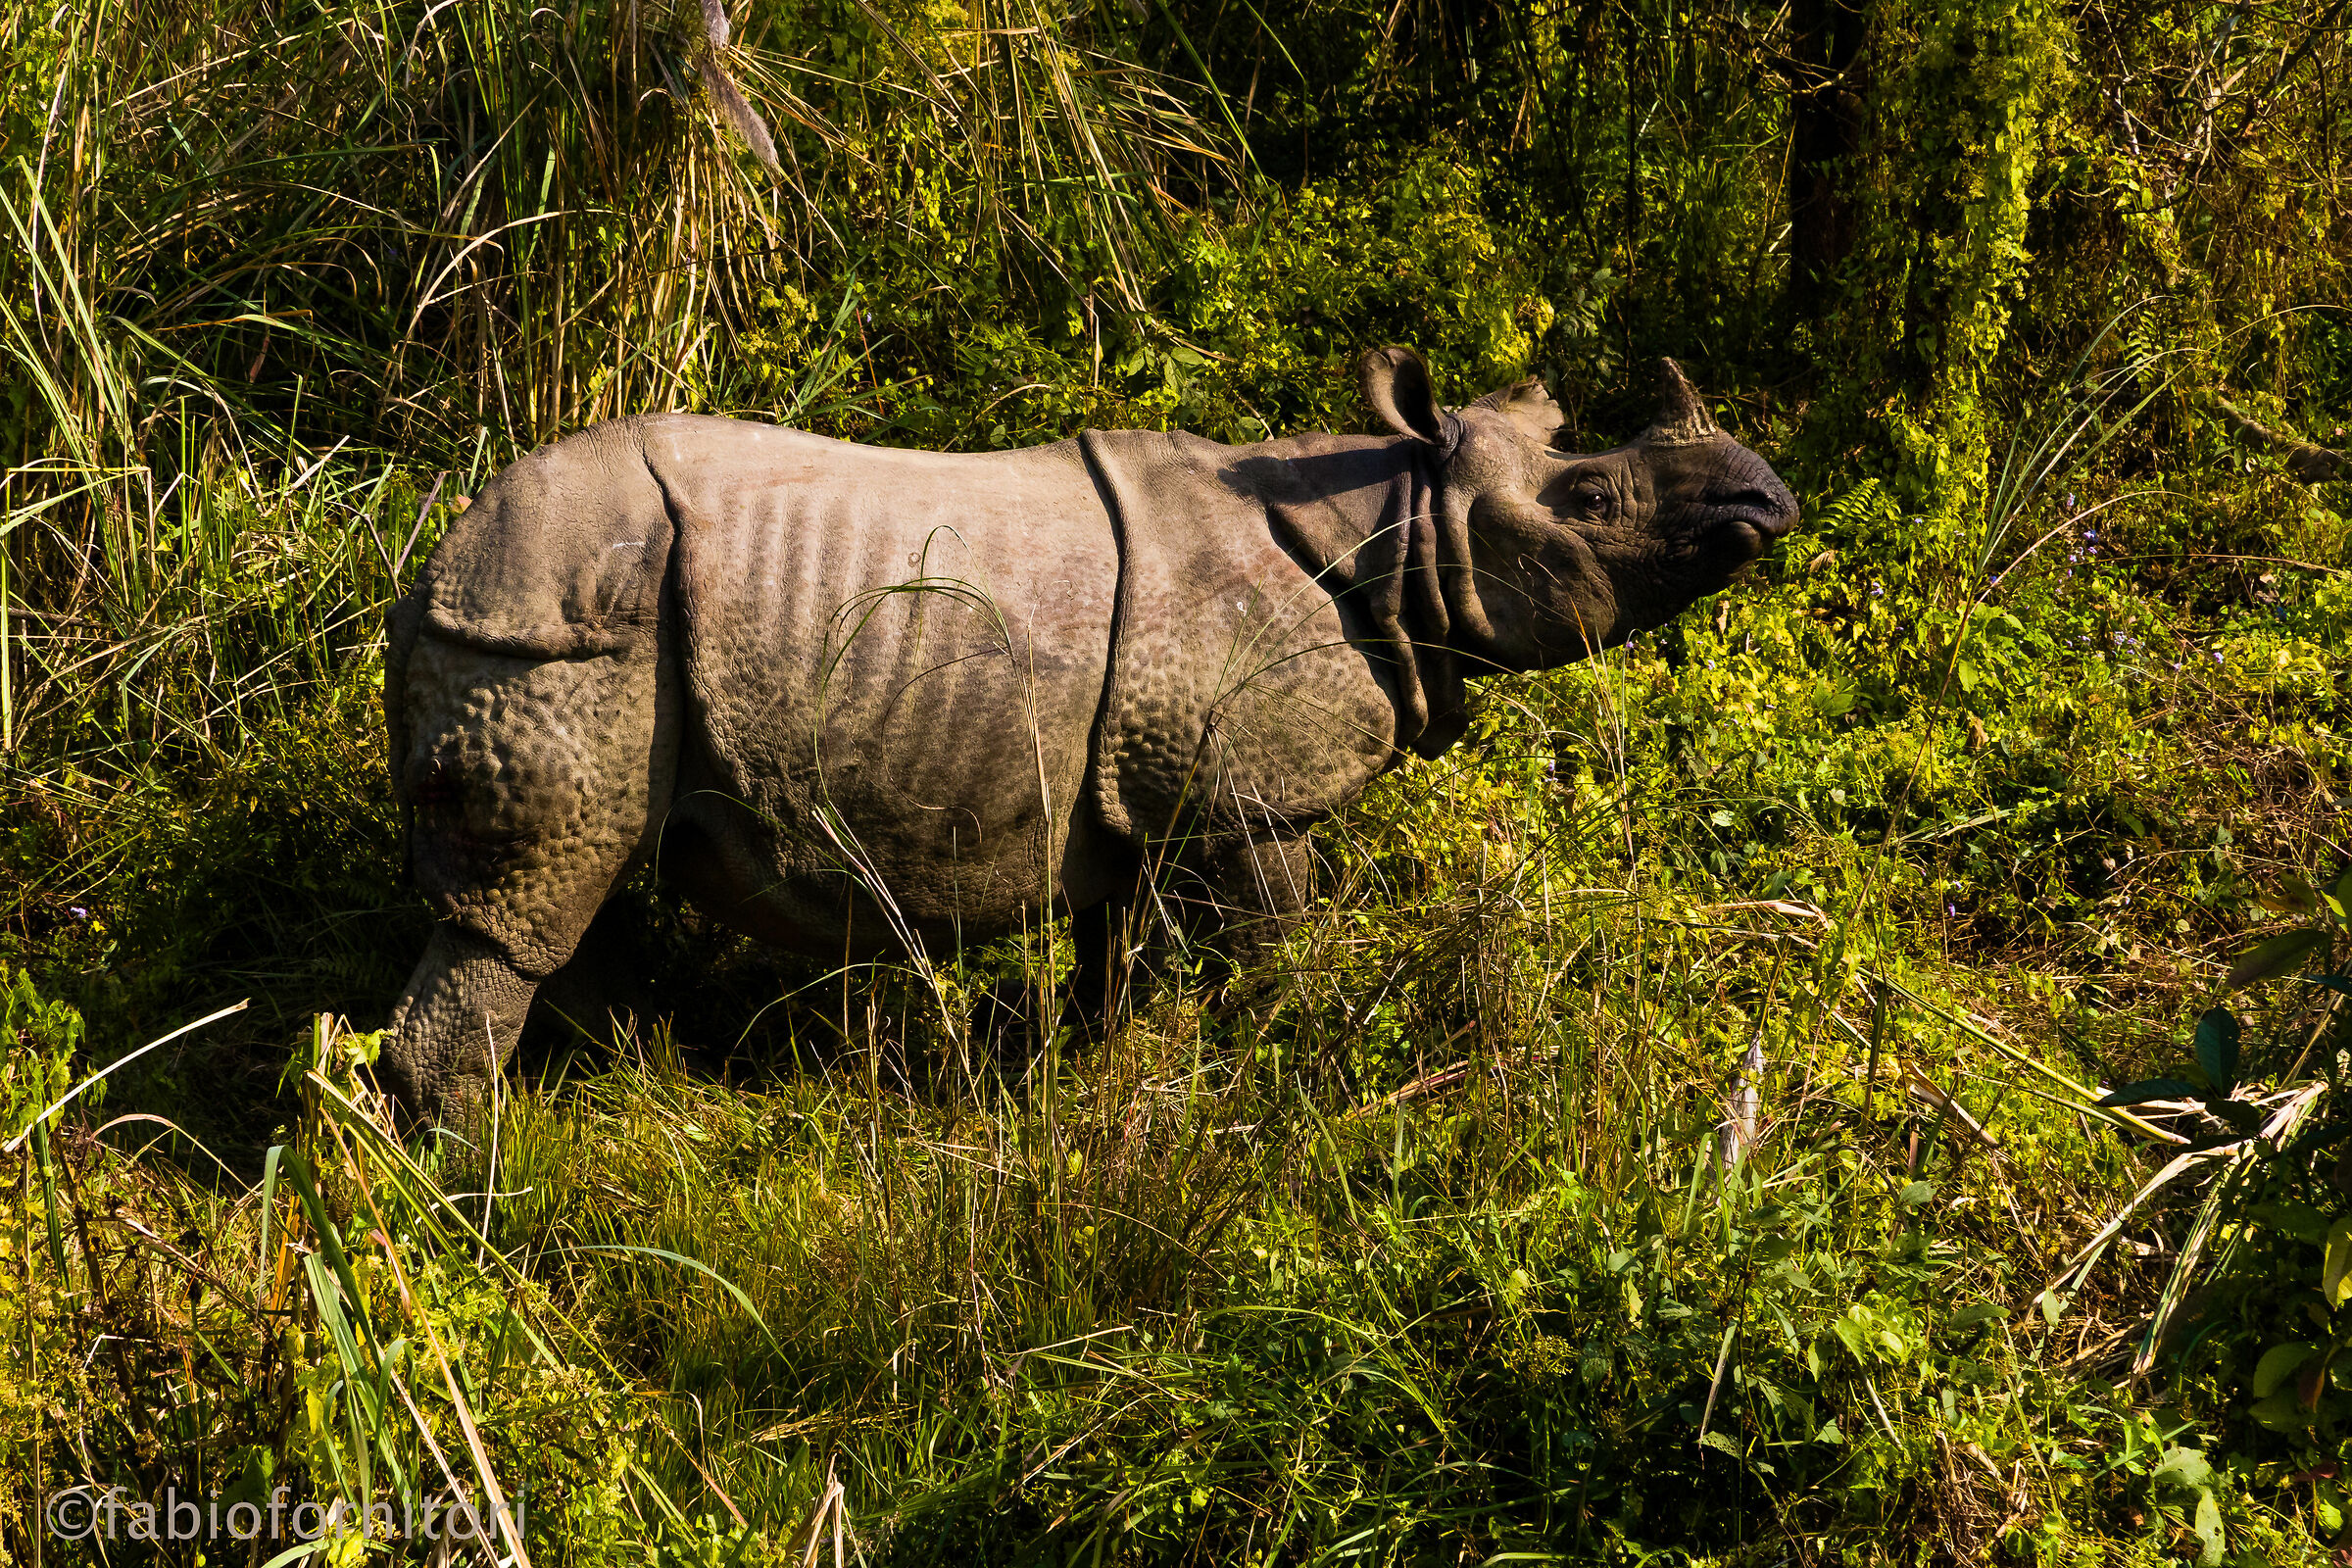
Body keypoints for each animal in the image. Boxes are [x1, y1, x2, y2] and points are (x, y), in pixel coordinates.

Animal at [379, 348, 1797, 1120]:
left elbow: (1116, 975)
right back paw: (486, 1207)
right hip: (549, 629)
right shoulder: (1247, 794)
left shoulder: (1143, 798)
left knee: (561, 901)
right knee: (533, 905)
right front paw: (1284, 1073)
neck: (1395, 526)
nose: (1768, 501)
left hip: (554, 625)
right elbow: (1274, 951)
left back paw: (648, 1086)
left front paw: (1087, 1086)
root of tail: (435, 561)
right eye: (1594, 502)